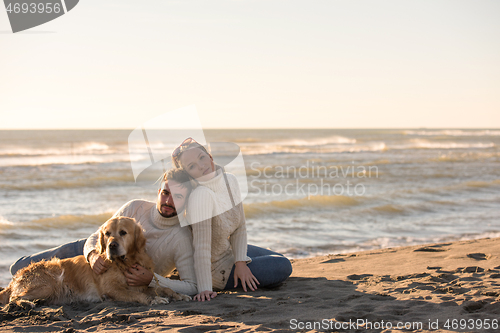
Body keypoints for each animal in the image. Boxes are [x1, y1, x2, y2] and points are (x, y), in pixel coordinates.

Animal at [0, 215, 191, 306]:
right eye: (107, 233)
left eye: (123, 232)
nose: (112, 246)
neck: (124, 263)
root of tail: (14, 279)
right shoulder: (112, 288)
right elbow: (137, 295)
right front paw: (153, 300)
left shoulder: (139, 282)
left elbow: (164, 288)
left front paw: (179, 295)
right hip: (48, 284)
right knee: (13, 298)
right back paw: (25, 304)